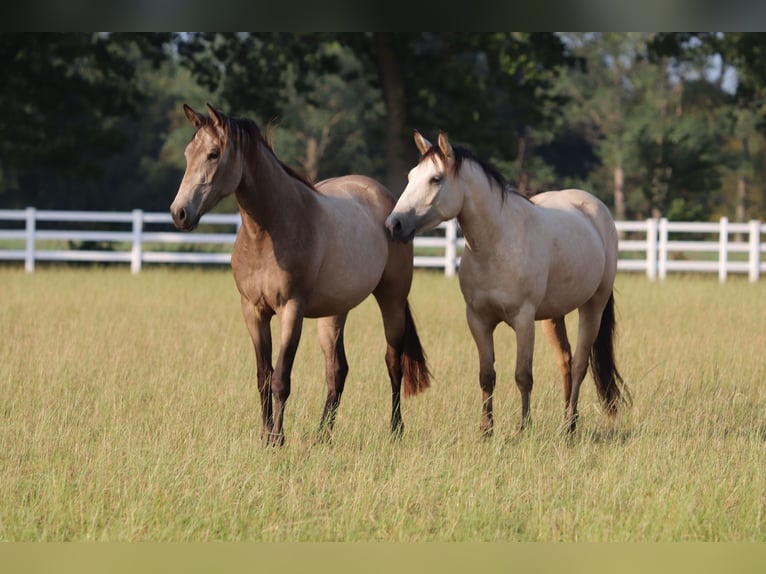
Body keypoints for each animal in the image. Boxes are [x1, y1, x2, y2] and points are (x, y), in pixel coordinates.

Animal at [170, 104, 430, 446]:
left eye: (213, 154)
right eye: (188, 153)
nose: (179, 213)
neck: (269, 231)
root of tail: (392, 208)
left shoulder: (291, 310)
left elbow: (281, 378)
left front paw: (277, 439)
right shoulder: (253, 311)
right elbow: (263, 377)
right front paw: (265, 435)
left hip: (392, 300)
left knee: (393, 362)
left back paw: (396, 431)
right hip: (334, 313)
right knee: (337, 370)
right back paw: (323, 436)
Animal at [385, 131, 629, 435]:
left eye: (435, 179)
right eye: (411, 176)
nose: (394, 224)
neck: (497, 244)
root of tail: (597, 210)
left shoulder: (523, 320)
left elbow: (523, 375)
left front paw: (524, 427)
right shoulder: (478, 320)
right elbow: (486, 375)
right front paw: (486, 429)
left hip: (592, 307)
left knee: (580, 365)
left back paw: (569, 426)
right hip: (553, 316)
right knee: (566, 362)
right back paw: (567, 422)